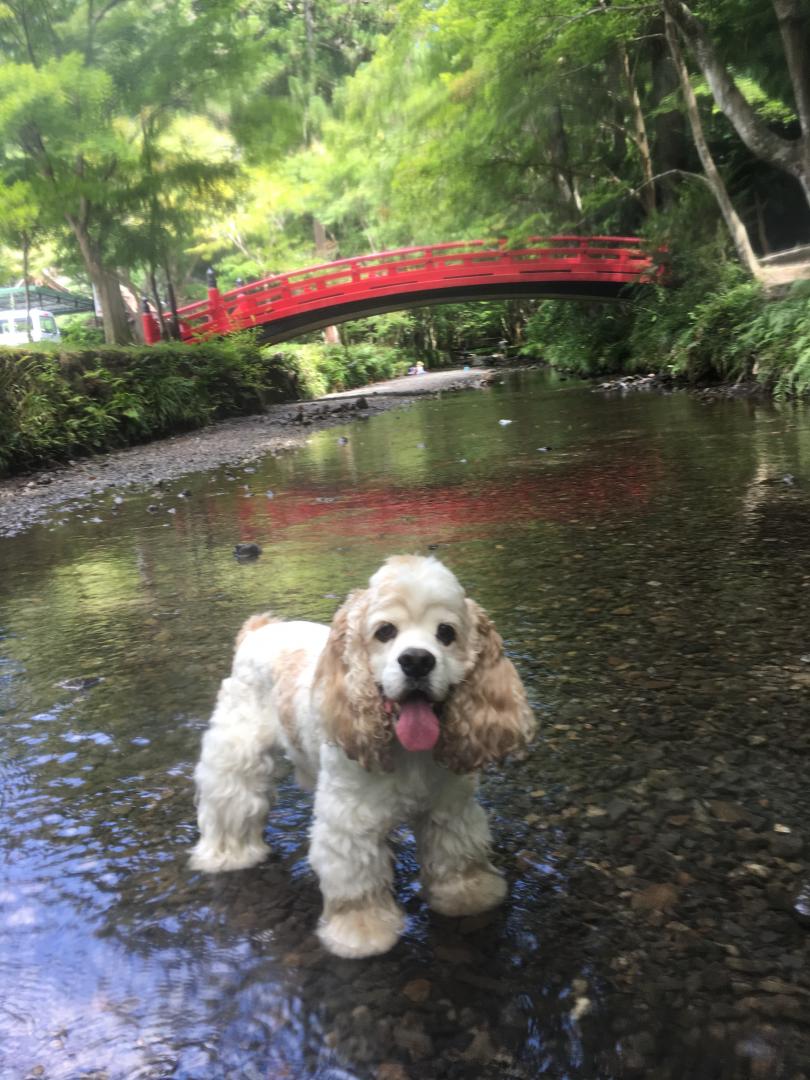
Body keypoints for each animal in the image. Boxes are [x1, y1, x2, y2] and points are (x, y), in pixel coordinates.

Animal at [186, 552, 535, 959]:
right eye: (385, 631)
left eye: (446, 633)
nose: (417, 660)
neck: (407, 750)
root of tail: (259, 629)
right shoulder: (350, 820)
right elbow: (357, 882)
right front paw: (362, 933)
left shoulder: (450, 805)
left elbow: (457, 854)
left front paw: (470, 895)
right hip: (238, 752)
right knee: (231, 801)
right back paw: (228, 856)